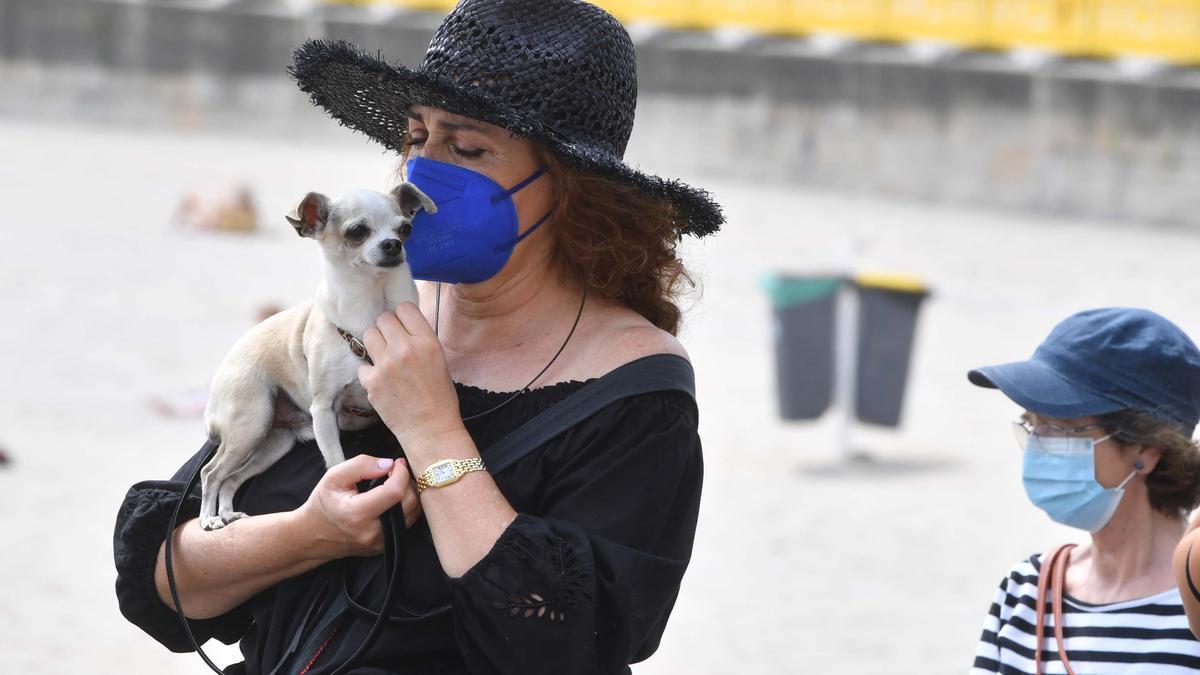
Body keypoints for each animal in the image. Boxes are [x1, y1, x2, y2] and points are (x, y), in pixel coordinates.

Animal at [199, 181, 439, 528]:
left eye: (406, 228)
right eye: (357, 231)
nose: (393, 244)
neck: (372, 308)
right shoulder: (324, 410)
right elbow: (338, 463)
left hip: (273, 442)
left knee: (231, 478)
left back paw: (229, 513)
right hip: (250, 424)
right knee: (211, 473)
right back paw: (208, 519)